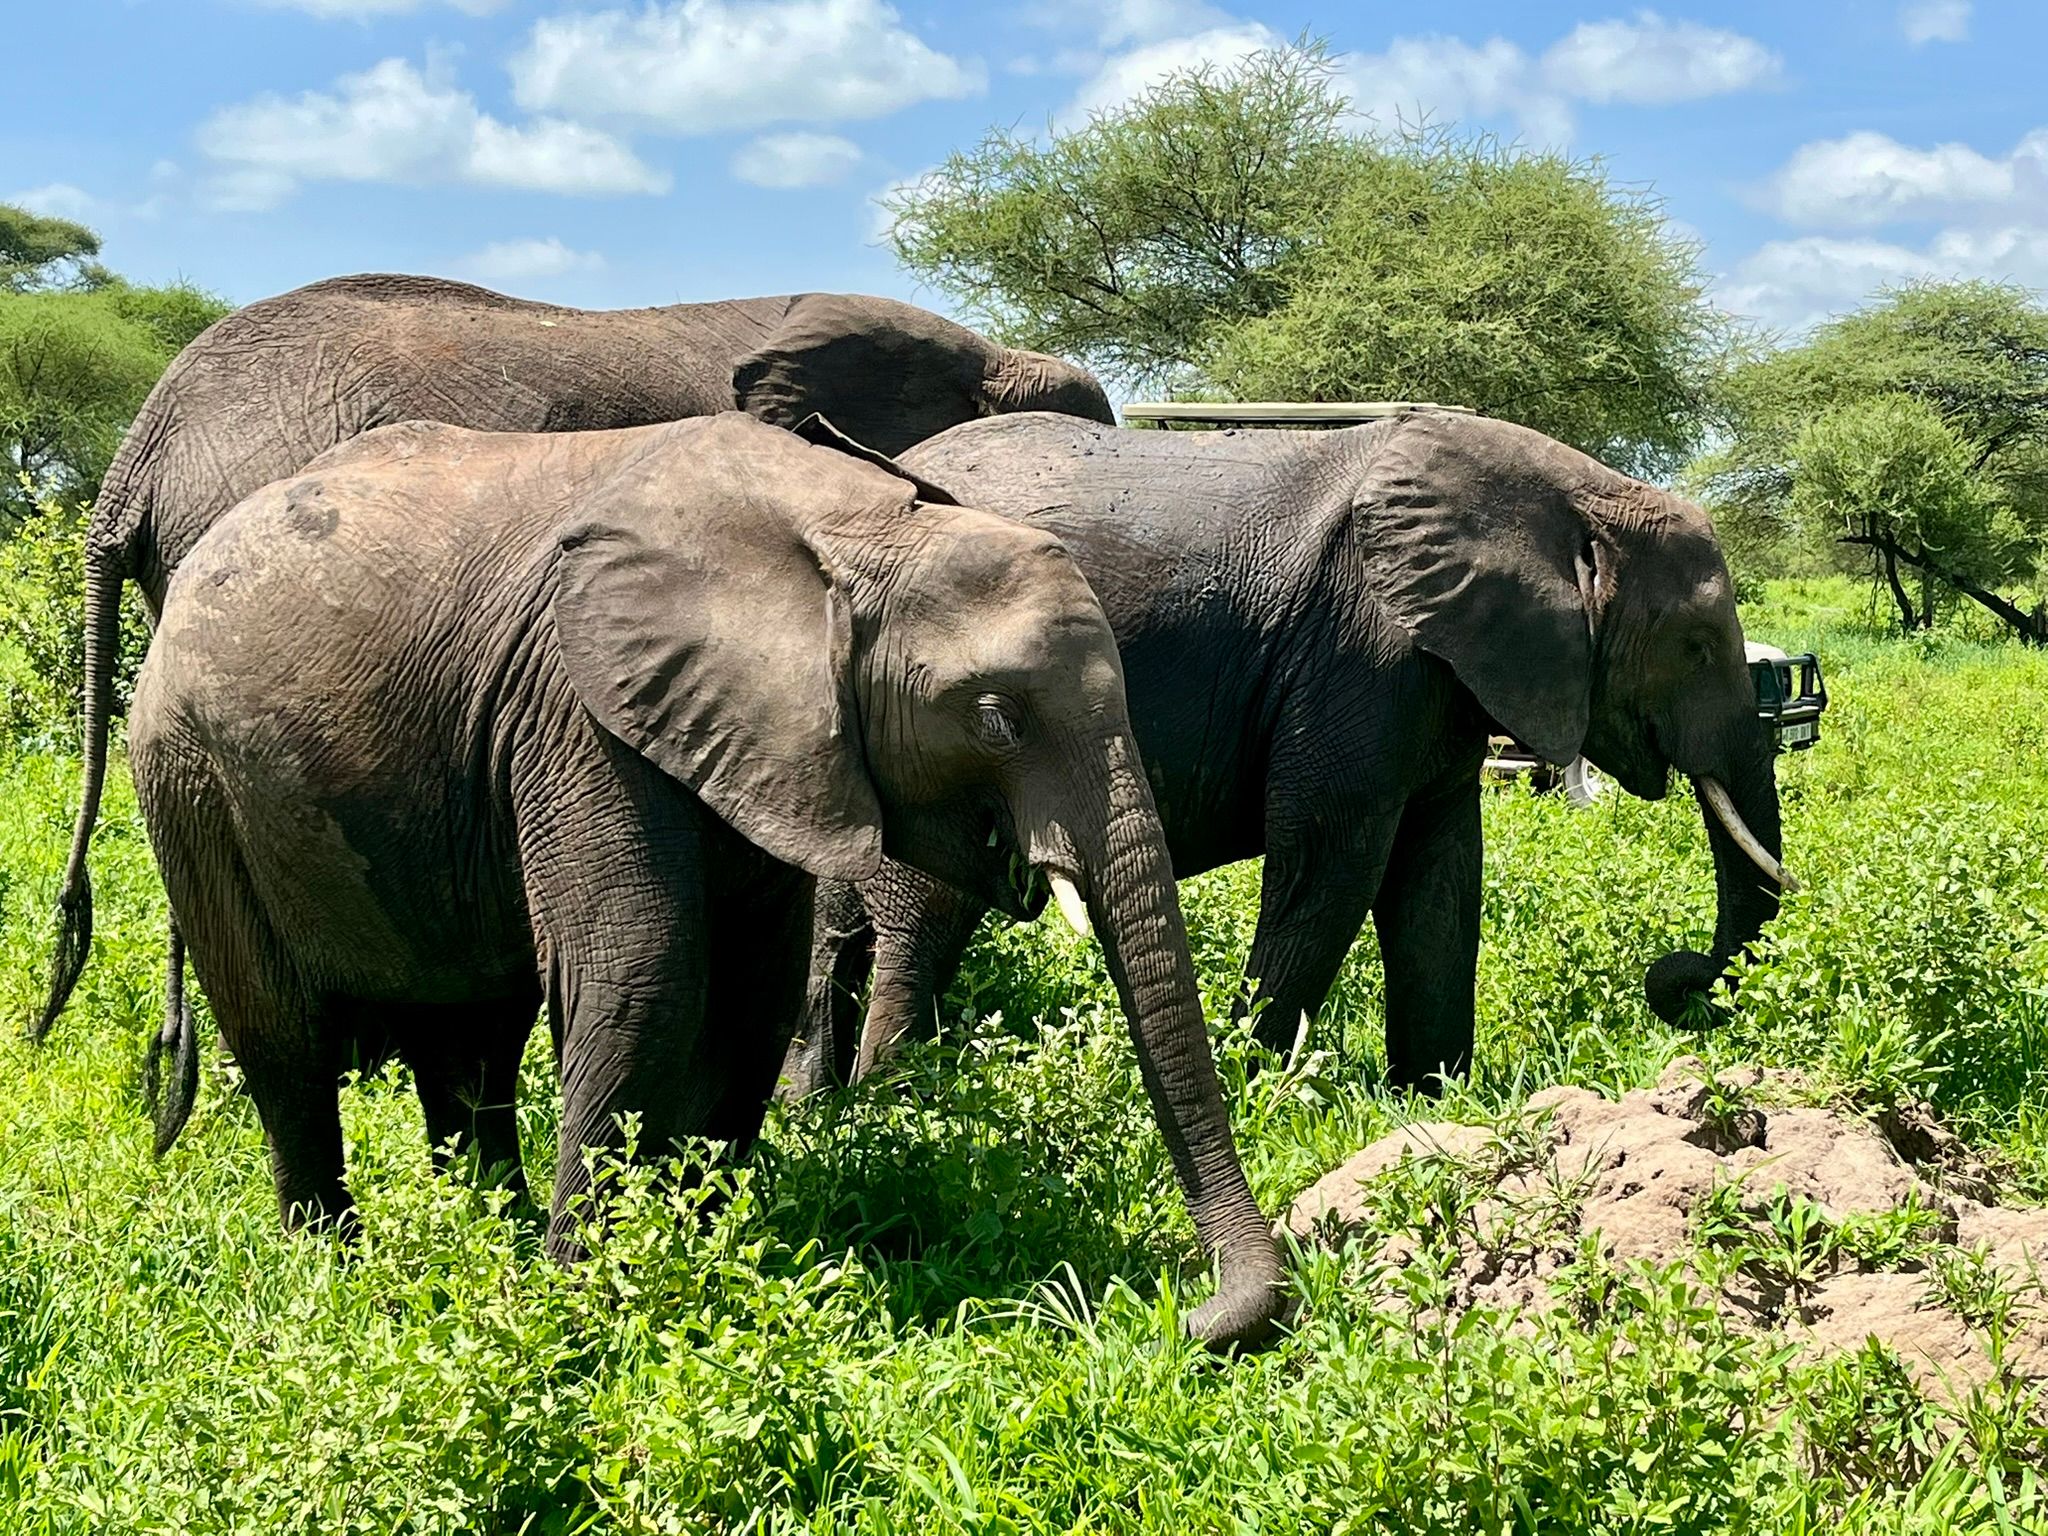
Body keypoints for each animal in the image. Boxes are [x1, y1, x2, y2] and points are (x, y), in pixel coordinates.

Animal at [126, 411, 1283, 1351]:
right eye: (997, 718)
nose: (1189, 1318)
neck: (850, 529)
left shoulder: (764, 739)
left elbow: (749, 999)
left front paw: (696, 1260)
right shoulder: (581, 708)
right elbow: (643, 977)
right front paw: (580, 1312)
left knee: (469, 1041)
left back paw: (486, 1241)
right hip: (189, 778)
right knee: (285, 1043)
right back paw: (337, 1269)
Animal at [783, 410, 1794, 1096]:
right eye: (1696, 646)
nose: (1676, 981)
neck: (1576, 493)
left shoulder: (1438, 671)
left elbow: (1439, 872)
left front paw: (1432, 1099)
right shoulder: (1360, 649)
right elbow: (1331, 860)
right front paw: (1262, 1090)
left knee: (839, 919)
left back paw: (820, 1106)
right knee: (922, 914)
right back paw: (896, 1097)